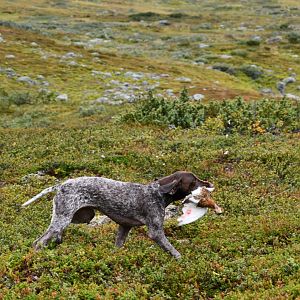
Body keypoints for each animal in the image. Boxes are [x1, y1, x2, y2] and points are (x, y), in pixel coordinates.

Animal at [22, 171, 221, 258]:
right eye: (193, 181)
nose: (210, 184)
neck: (158, 193)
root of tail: (60, 185)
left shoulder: (124, 227)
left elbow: (117, 248)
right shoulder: (155, 232)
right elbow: (173, 251)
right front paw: (182, 261)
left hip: (81, 216)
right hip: (63, 219)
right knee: (38, 242)